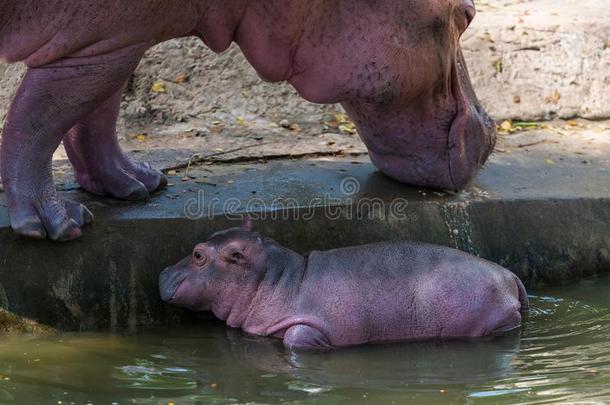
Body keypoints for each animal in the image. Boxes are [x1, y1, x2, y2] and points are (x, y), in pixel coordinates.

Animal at [0, 0, 494, 240]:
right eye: (468, 15)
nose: (490, 131)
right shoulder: (99, 44)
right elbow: (38, 121)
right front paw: (55, 227)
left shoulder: (113, 39)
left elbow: (95, 113)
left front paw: (138, 186)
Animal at [159, 219, 524, 348]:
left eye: (198, 254)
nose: (161, 273)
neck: (277, 278)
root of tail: (509, 274)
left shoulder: (314, 323)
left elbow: (296, 339)